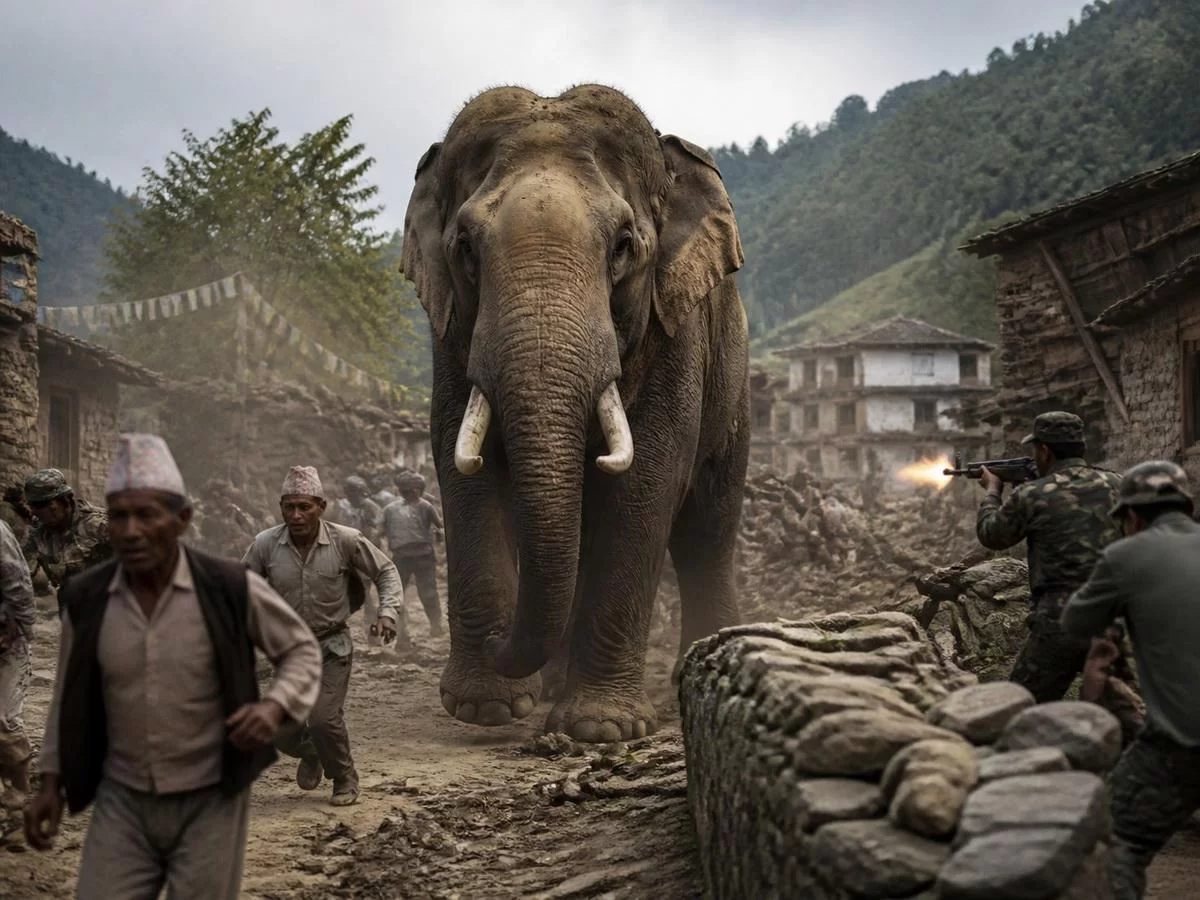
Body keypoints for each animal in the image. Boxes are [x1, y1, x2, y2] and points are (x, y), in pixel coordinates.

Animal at [400, 84, 750, 742]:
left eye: (623, 246)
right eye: (464, 248)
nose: (497, 641)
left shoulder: (675, 331)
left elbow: (647, 479)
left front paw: (601, 729)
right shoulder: (450, 335)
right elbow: (464, 465)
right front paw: (487, 709)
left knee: (707, 528)